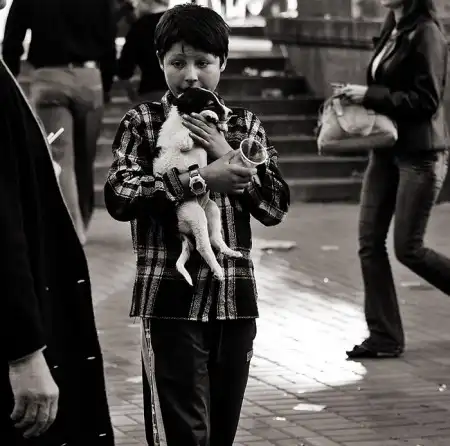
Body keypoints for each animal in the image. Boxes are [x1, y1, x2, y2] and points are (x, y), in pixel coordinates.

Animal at [153, 87, 243, 285]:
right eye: (211, 103)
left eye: (219, 100)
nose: (230, 113)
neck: (181, 117)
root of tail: (178, 229)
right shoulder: (182, 140)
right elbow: (187, 135)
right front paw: (210, 115)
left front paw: (222, 126)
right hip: (194, 214)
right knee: (203, 246)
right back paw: (218, 270)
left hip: (212, 208)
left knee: (214, 237)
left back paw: (229, 251)